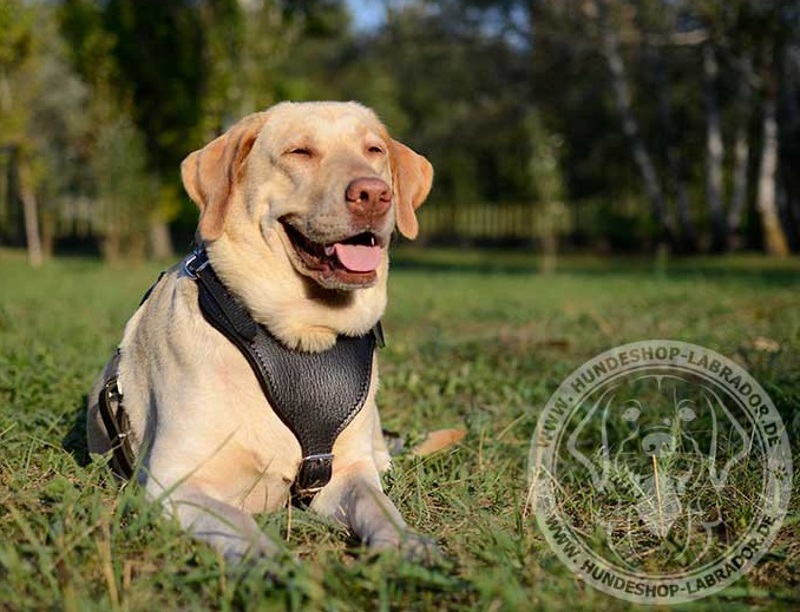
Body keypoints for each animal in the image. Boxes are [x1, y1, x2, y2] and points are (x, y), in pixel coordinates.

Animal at [86, 101, 432, 564]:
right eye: (299, 152)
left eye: (374, 149)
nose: (375, 193)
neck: (302, 334)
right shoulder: (177, 483)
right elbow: (244, 527)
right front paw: (273, 564)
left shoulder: (348, 472)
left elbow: (380, 507)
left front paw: (407, 543)